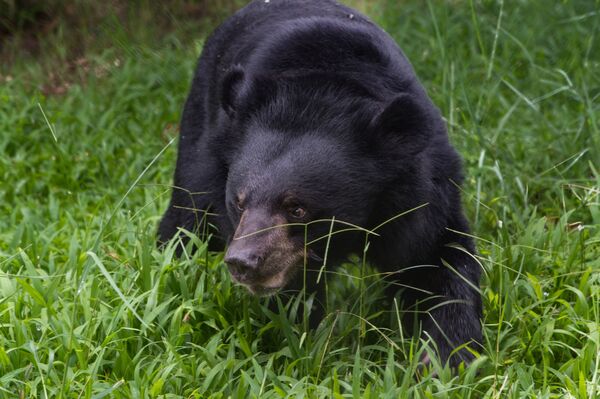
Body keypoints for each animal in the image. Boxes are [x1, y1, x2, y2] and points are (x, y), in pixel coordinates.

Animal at [157, 0, 480, 368]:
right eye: (238, 202)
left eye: (297, 208)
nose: (242, 262)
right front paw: (302, 347)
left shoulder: (421, 192)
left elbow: (436, 257)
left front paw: (449, 359)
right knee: (185, 219)